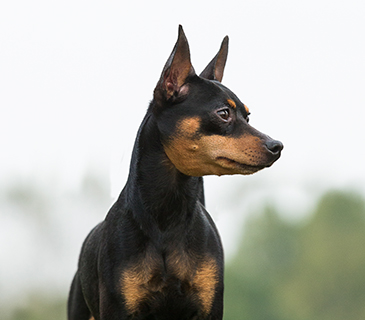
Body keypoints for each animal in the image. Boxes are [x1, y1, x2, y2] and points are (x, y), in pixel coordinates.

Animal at [69, 25, 284, 320]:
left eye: (248, 117)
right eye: (223, 113)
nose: (277, 146)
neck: (167, 216)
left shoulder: (209, 307)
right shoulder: (119, 309)